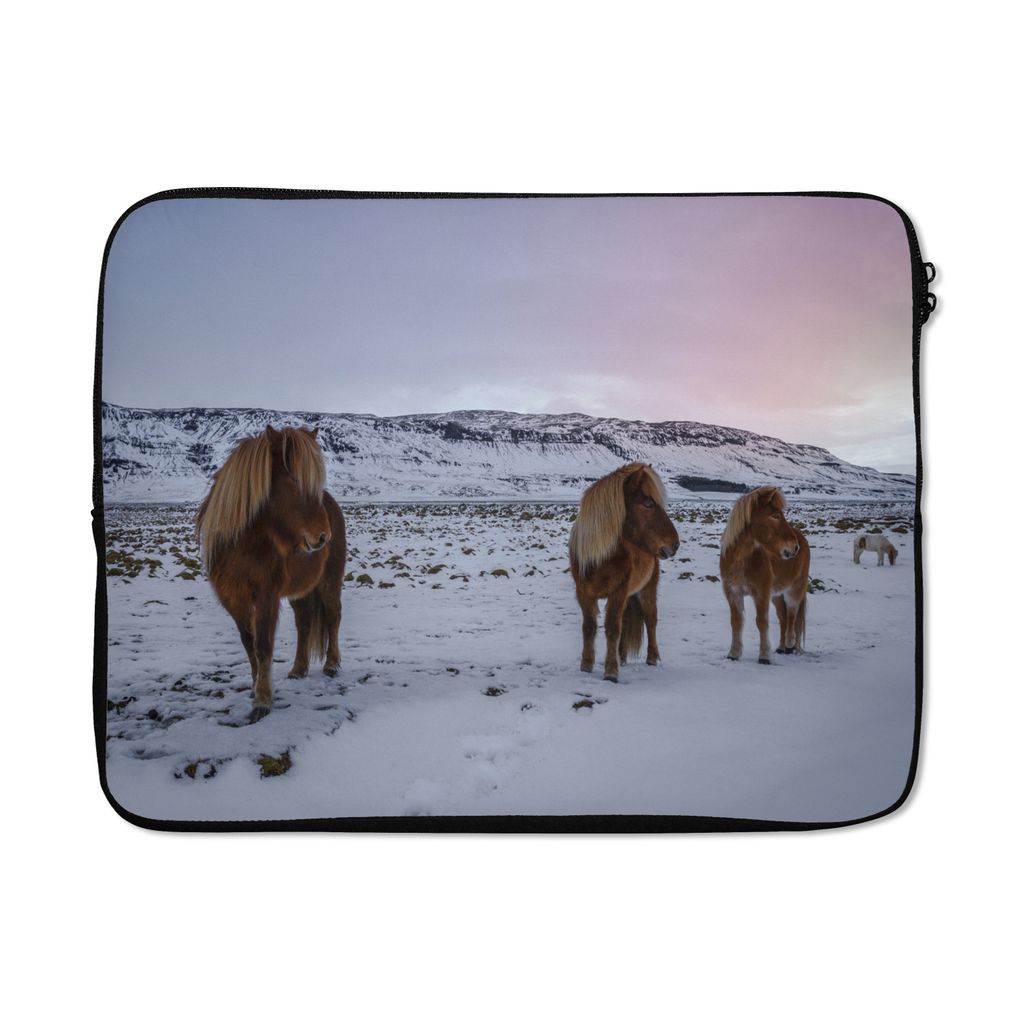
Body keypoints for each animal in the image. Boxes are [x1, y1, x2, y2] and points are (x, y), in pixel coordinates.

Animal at [195, 425, 347, 723]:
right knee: (304, 622)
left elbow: (264, 644)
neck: (244, 542)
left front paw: (263, 701)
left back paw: (332, 665)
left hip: (329, 580)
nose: (323, 537)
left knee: (333, 616)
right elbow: (249, 642)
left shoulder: (266, 594)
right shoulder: (234, 599)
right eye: (294, 480)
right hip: (302, 590)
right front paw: (255, 688)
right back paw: (298, 669)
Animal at [569, 463, 679, 682]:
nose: (675, 544)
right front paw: (586, 665)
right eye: (648, 504)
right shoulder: (584, 593)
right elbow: (589, 627)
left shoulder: (617, 592)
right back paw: (622, 657)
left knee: (650, 620)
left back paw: (651, 658)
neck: (601, 558)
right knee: (625, 621)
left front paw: (611, 672)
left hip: (647, 590)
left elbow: (612, 627)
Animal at [719, 485, 810, 664]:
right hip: (776, 595)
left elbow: (761, 622)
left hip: (794, 589)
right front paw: (734, 653)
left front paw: (764, 656)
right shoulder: (733, 592)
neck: (741, 559)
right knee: (782, 617)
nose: (794, 547)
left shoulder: (761, 592)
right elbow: (736, 622)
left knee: (792, 614)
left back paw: (790, 643)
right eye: (775, 515)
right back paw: (782, 647)